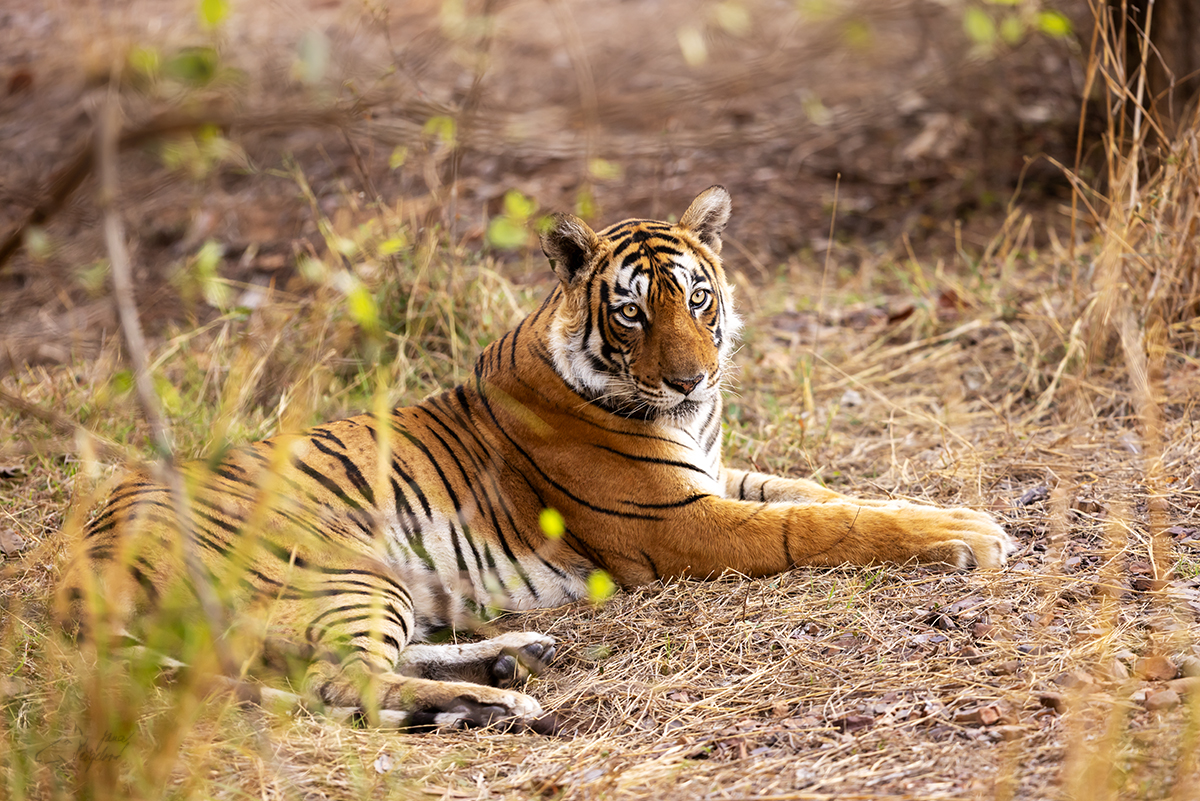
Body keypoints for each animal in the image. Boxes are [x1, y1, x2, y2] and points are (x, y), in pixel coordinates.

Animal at [56, 185, 1012, 733]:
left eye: (698, 298)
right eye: (632, 311)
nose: (692, 377)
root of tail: (76, 563)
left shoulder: (715, 475)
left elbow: (821, 491)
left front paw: (952, 510)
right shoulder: (687, 521)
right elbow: (819, 524)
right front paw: (971, 533)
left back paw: (513, 654)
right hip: (341, 568)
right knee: (338, 680)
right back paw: (498, 701)